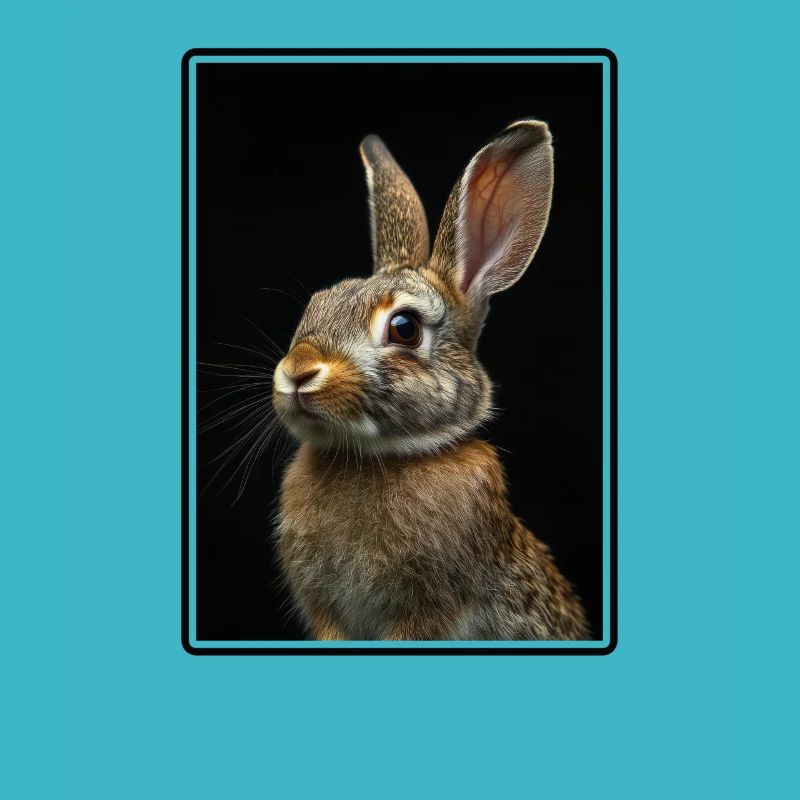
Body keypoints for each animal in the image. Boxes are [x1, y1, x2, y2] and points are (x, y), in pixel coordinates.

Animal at [271, 120, 590, 640]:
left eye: (405, 328)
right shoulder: (327, 615)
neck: (378, 456)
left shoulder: (425, 614)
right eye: (316, 305)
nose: (298, 373)